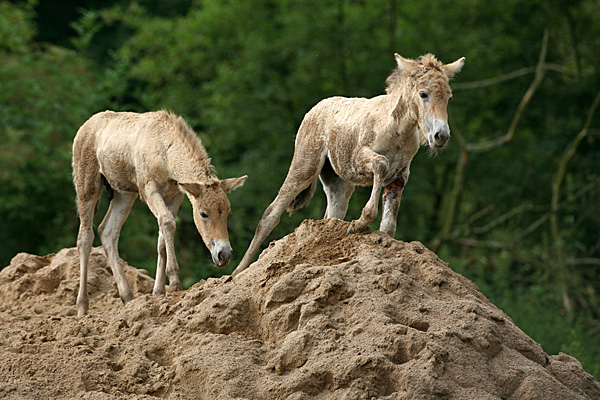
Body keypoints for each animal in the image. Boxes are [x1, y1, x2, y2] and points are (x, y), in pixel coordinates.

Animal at [72, 110, 246, 316]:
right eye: (203, 213)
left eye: (228, 211)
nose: (223, 254)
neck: (166, 154)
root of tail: (83, 128)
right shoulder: (149, 188)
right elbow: (168, 223)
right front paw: (175, 282)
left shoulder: (176, 194)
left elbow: (163, 233)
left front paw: (159, 290)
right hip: (87, 185)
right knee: (85, 236)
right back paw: (82, 306)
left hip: (125, 193)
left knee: (107, 231)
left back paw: (128, 297)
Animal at [233, 53, 464, 276]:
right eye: (423, 94)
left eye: (449, 97)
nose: (441, 136)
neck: (398, 130)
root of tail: (313, 110)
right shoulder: (360, 158)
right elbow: (381, 164)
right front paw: (359, 223)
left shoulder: (399, 175)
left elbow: (389, 225)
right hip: (304, 167)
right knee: (270, 214)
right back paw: (237, 272)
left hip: (337, 182)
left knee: (331, 214)